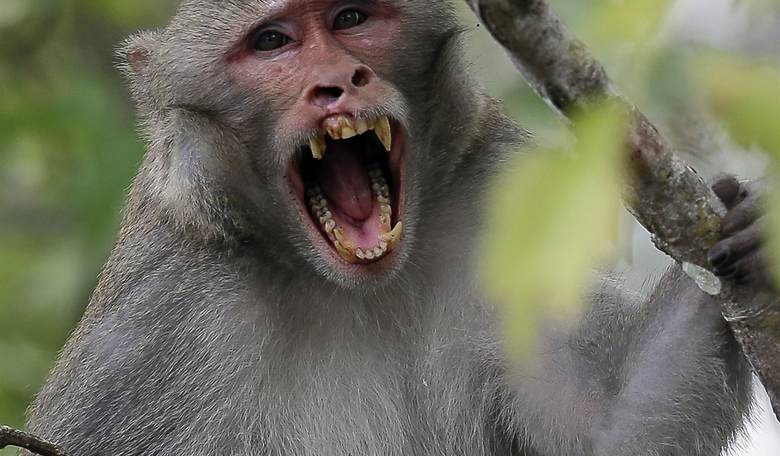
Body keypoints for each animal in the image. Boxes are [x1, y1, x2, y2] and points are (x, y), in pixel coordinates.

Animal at [21, 1, 767, 455]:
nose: (338, 81)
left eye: (351, 18)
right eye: (272, 41)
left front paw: (745, 230)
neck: (353, 286)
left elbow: (606, 429)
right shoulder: (161, 321)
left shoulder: (490, 205)